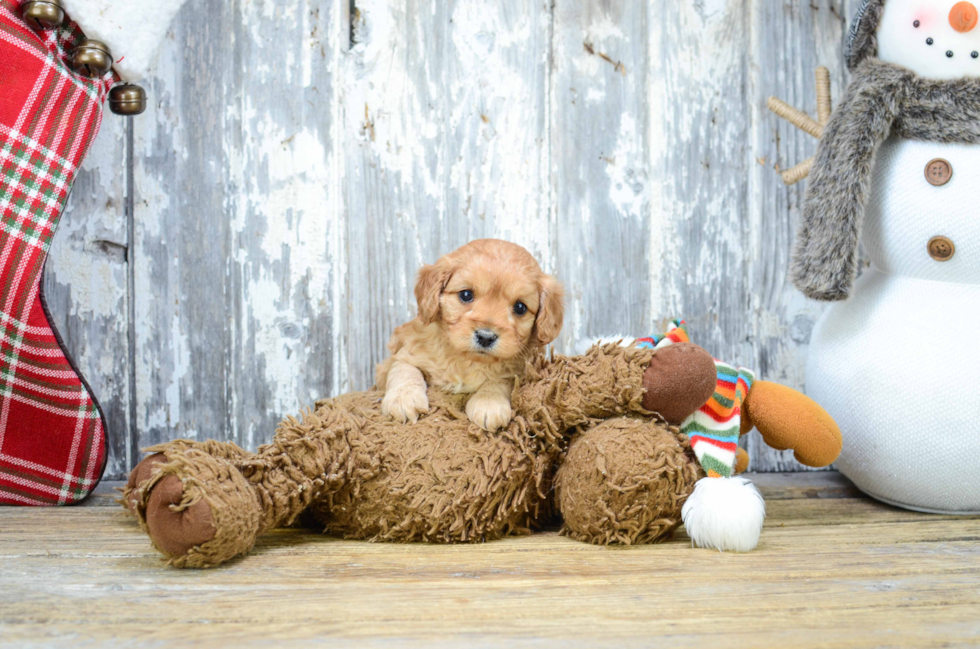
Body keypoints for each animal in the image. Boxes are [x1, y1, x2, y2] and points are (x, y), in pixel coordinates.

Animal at [378, 238, 568, 430]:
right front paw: (403, 399)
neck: (468, 361)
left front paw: (489, 403)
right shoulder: (401, 352)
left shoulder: (521, 371)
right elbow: (404, 368)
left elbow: (500, 381)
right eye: (466, 294)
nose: (485, 337)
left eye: (520, 307)